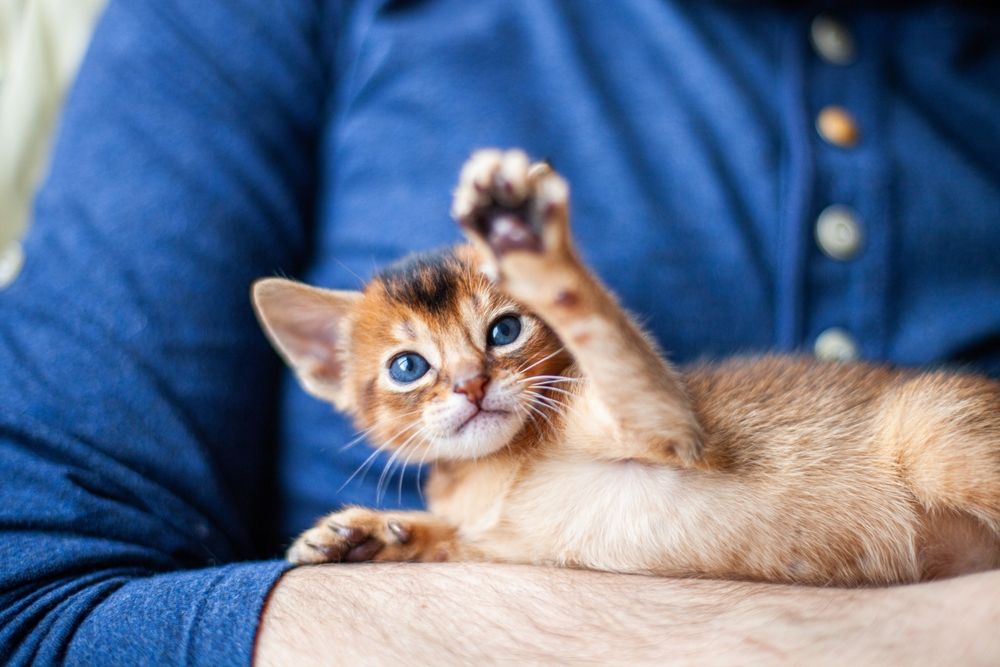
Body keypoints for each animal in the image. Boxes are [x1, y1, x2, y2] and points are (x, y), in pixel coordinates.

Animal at [256, 150, 1000, 584]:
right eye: (408, 366)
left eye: (505, 330)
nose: (472, 384)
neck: (495, 473)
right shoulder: (499, 544)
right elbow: (455, 540)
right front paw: (370, 533)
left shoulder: (671, 426)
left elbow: (603, 329)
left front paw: (526, 239)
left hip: (937, 432)